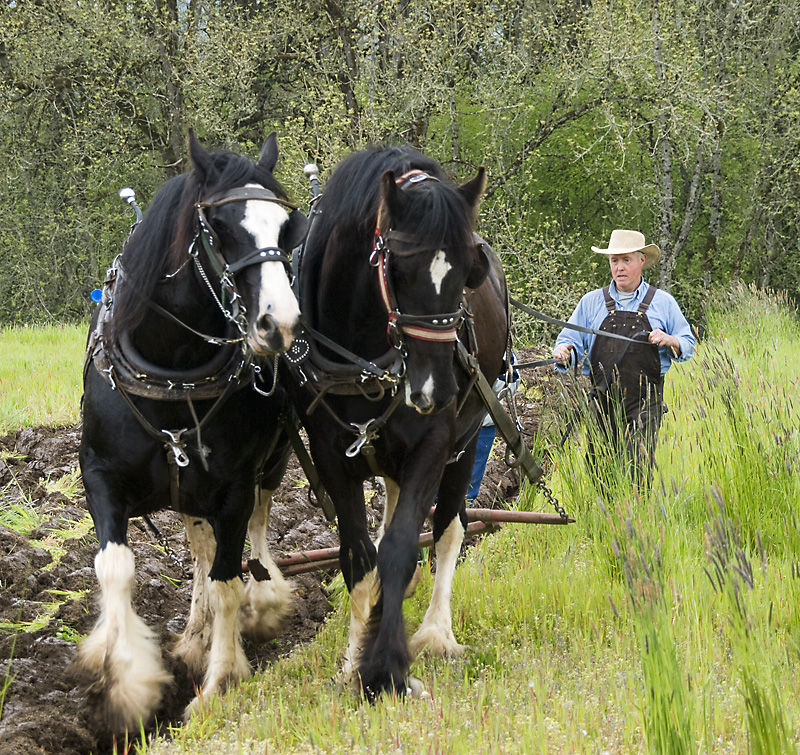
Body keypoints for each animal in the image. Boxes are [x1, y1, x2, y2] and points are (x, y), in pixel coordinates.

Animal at [79, 131, 306, 732]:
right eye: (218, 227)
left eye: (286, 227)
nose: (280, 324)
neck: (171, 366)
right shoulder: (99, 474)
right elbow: (116, 567)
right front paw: (126, 681)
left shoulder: (234, 483)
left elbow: (228, 580)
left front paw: (220, 681)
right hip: (187, 487)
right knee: (200, 549)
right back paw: (193, 637)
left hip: (271, 462)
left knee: (255, 528)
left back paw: (259, 603)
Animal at [284, 146, 510, 696]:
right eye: (400, 268)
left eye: (467, 270)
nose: (437, 388)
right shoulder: (329, 454)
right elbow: (360, 556)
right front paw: (355, 660)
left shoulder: (435, 442)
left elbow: (404, 547)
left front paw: (387, 669)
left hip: (466, 441)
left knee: (450, 528)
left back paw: (436, 634)